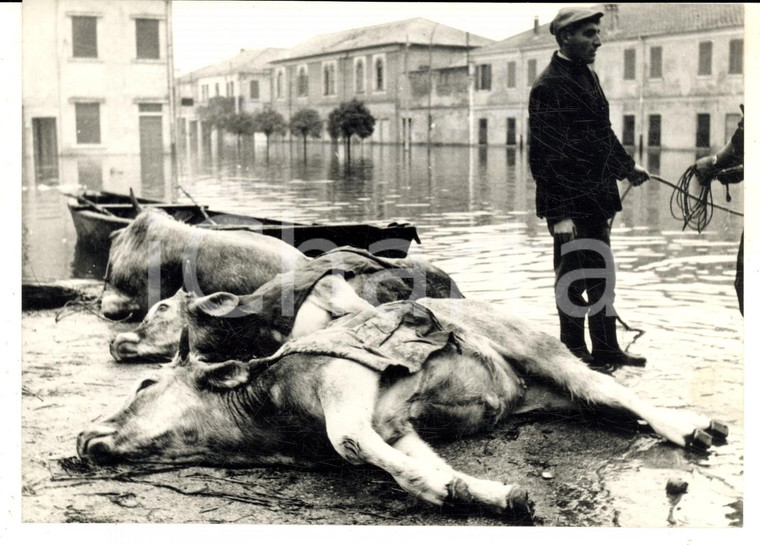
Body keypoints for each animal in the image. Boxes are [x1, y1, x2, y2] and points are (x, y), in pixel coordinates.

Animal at [80, 298, 728, 520]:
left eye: (143, 386)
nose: (84, 437)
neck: (272, 415)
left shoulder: (346, 383)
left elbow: (349, 439)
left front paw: (441, 488)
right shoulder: (394, 426)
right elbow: (408, 458)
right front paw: (480, 492)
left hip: (540, 350)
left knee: (616, 392)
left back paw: (694, 427)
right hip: (546, 396)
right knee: (602, 404)